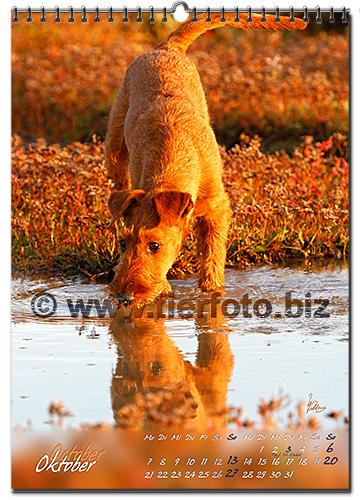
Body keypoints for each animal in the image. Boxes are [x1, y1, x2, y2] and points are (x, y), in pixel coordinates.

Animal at [105, 11, 306, 306]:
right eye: (123, 243)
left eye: (154, 245)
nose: (123, 297)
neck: (174, 156)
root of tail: (165, 47)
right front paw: (164, 288)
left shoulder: (217, 208)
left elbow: (212, 261)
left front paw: (212, 296)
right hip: (115, 146)